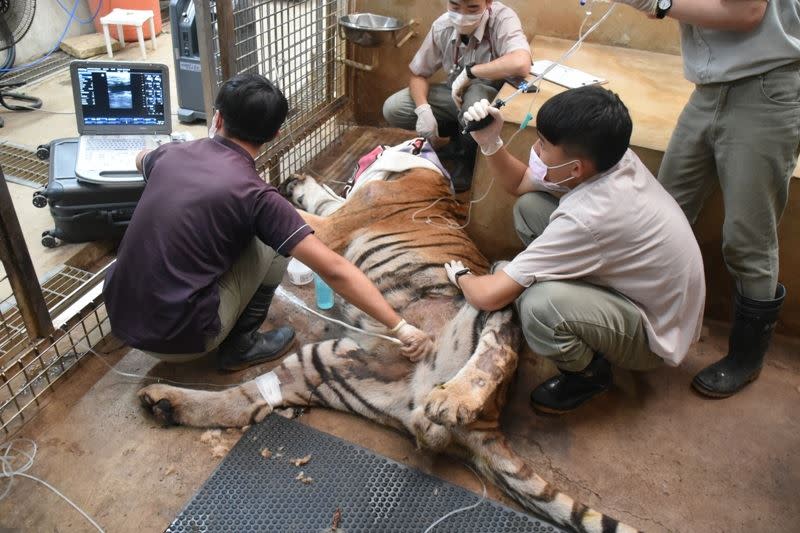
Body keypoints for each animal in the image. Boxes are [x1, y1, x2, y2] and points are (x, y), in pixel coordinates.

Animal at [138, 164, 636, 528]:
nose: (291, 175)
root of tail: (488, 422)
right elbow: (325, 198)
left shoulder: (332, 223)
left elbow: (314, 210)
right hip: (324, 364)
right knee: (244, 401)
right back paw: (161, 402)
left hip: (500, 285)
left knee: (499, 350)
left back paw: (452, 401)